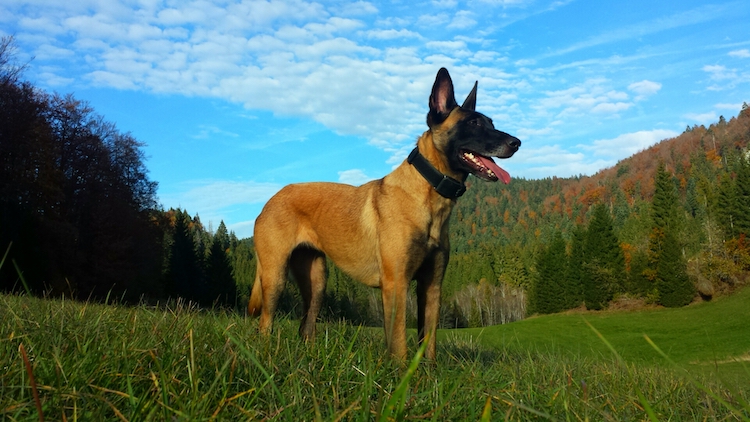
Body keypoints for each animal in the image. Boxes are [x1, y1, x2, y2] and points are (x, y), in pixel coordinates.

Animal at [250, 67, 520, 358]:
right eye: (474, 124)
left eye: (491, 123)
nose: (516, 143)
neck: (427, 197)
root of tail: (270, 201)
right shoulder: (396, 283)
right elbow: (399, 340)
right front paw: (400, 368)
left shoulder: (432, 286)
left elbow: (429, 342)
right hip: (275, 277)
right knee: (265, 324)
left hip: (317, 282)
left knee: (306, 327)